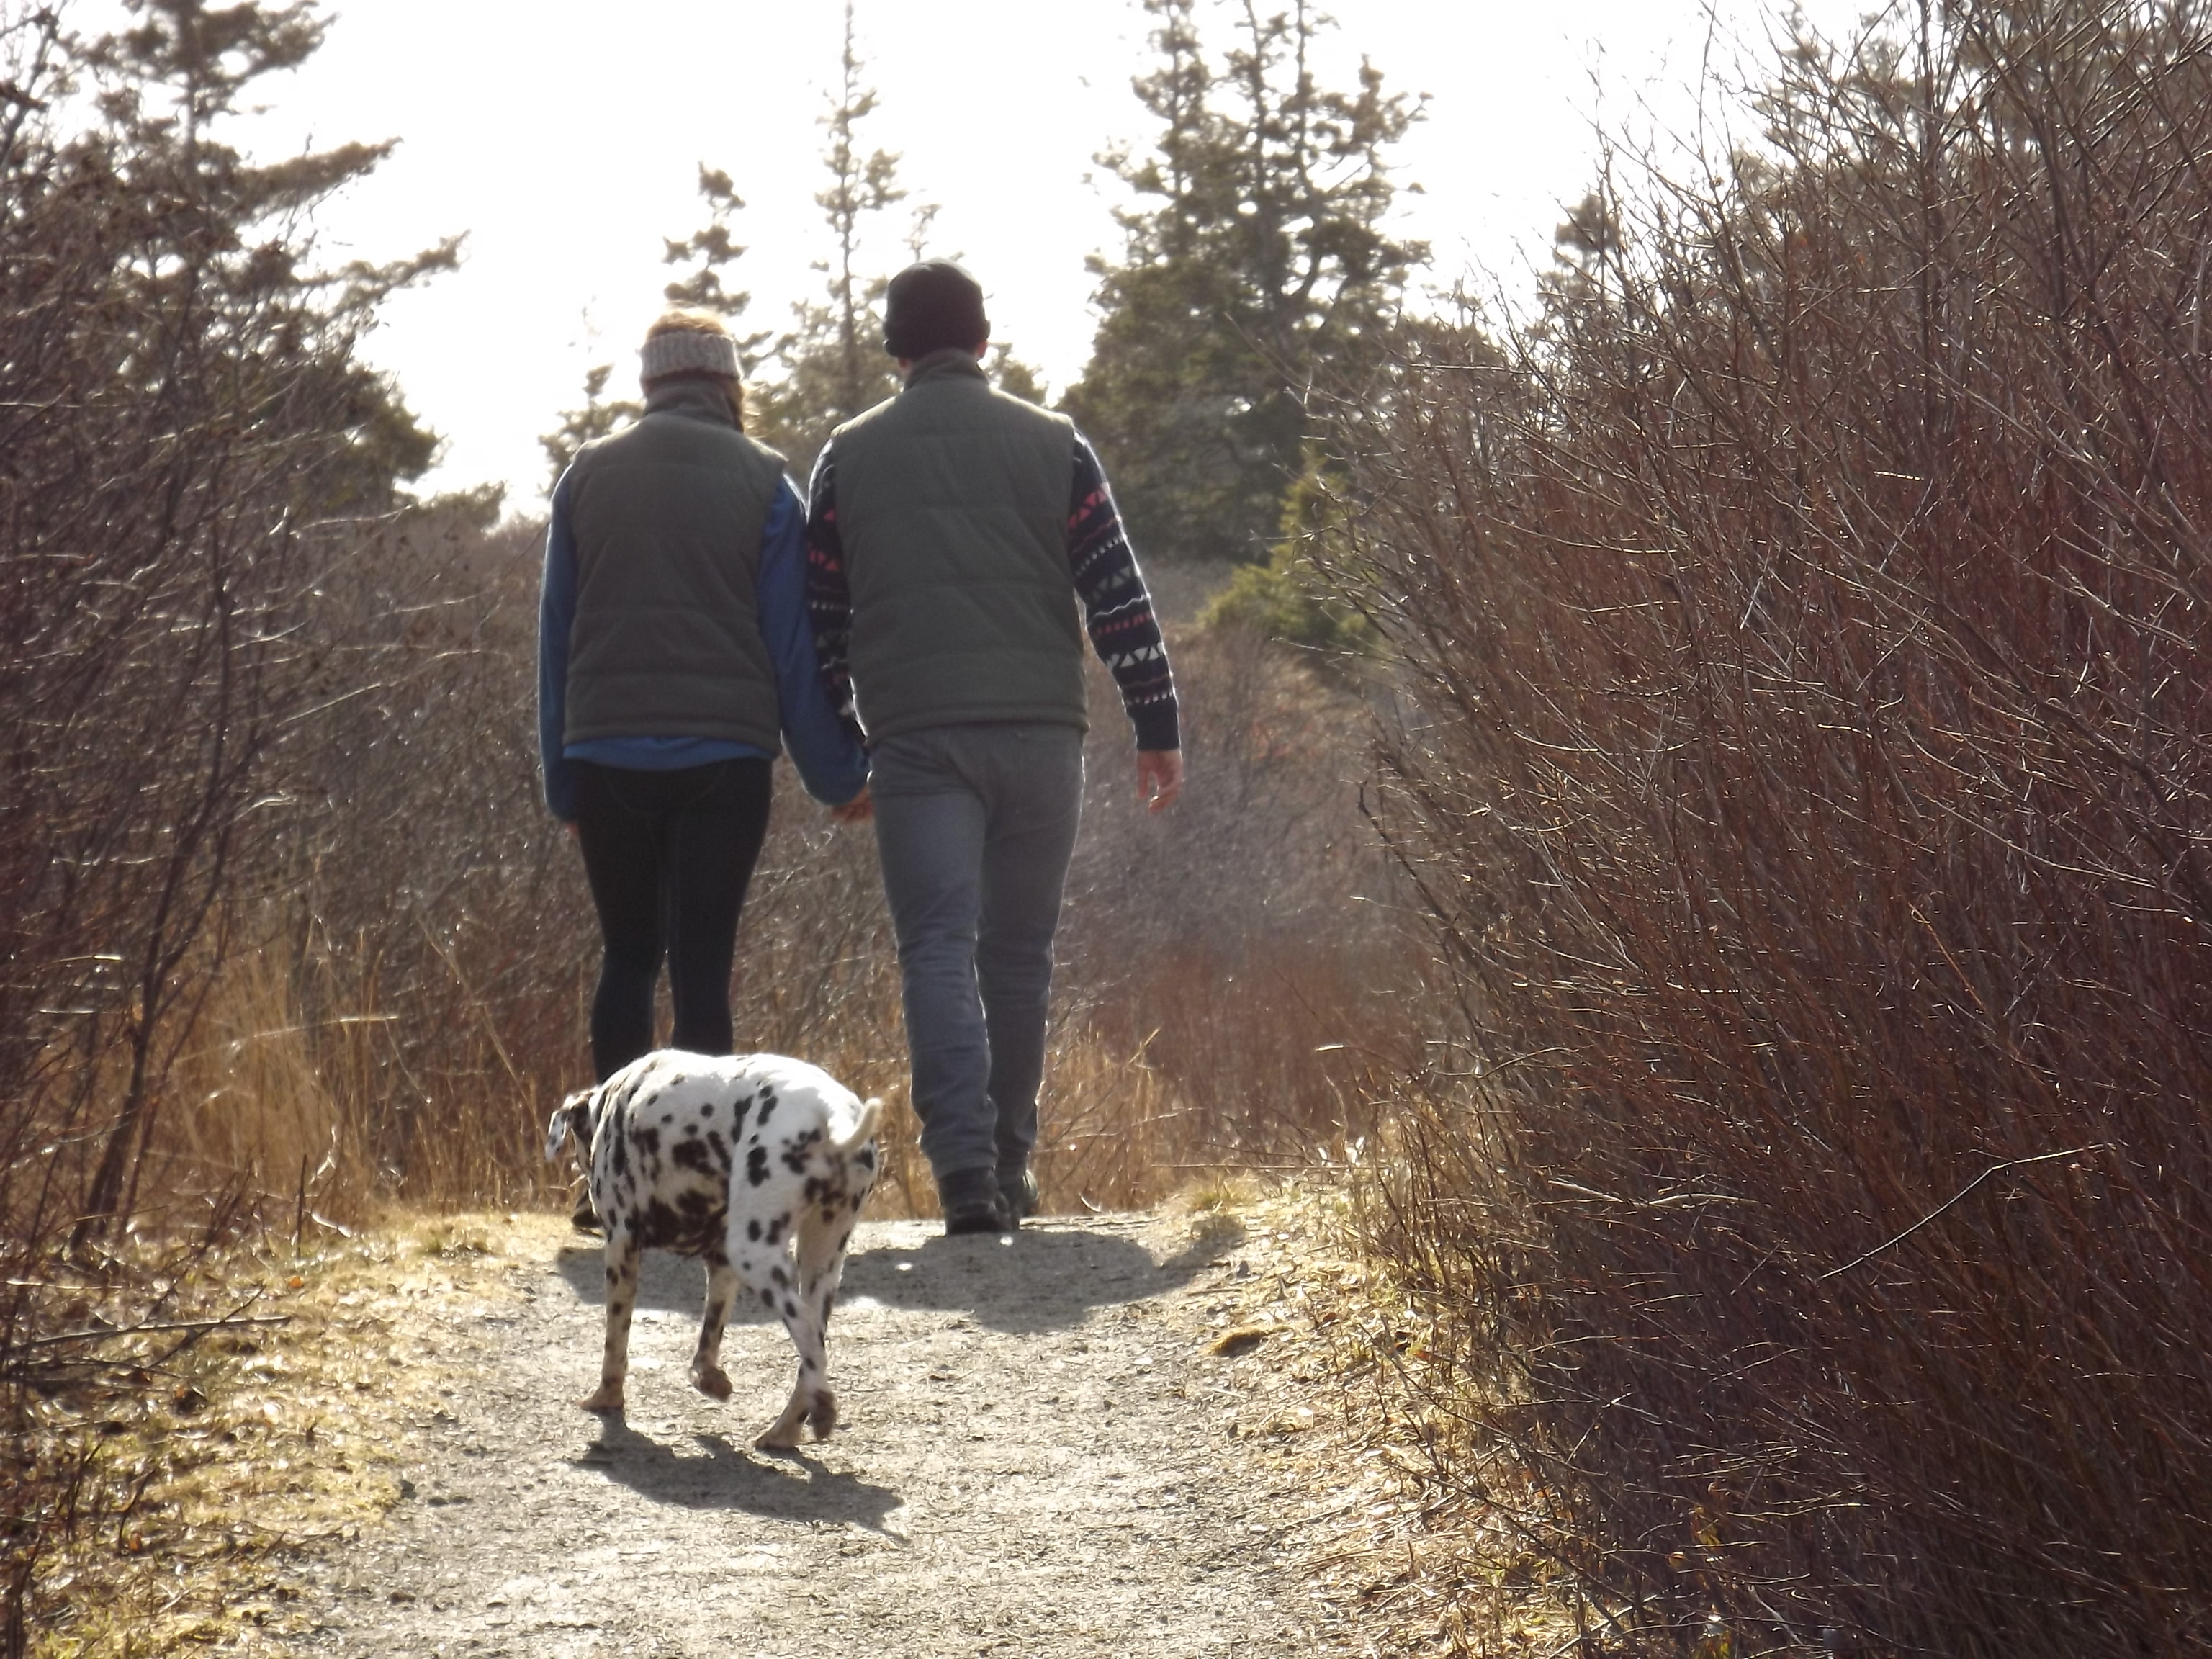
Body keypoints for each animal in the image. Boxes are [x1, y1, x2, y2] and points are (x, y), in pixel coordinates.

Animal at [543, 1050, 880, 1449]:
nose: (583, 1213)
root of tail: (828, 1108)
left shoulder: (622, 1249)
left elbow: (616, 1345)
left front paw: (606, 1398)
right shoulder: (720, 1267)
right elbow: (708, 1342)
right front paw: (710, 1380)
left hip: (756, 1257)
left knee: (810, 1344)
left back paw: (821, 1410)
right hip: (819, 1262)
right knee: (811, 1350)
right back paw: (785, 1430)